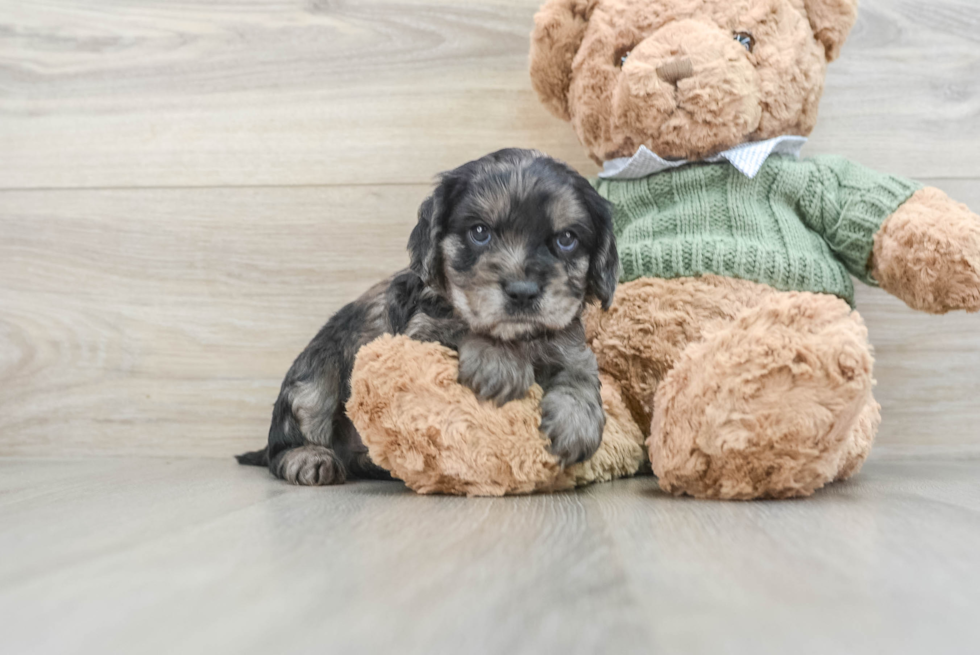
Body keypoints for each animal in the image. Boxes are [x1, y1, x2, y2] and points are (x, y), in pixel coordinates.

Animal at [237, 150, 620, 486]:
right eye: (480, 232)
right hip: (313, 381)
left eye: (567, 239)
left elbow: (580, 369)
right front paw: (499, 361)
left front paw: (577, 422)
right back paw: (308, 457)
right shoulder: (418, 336)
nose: (523, 292)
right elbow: (465, 327)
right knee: (281, 447)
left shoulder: (567, 340)